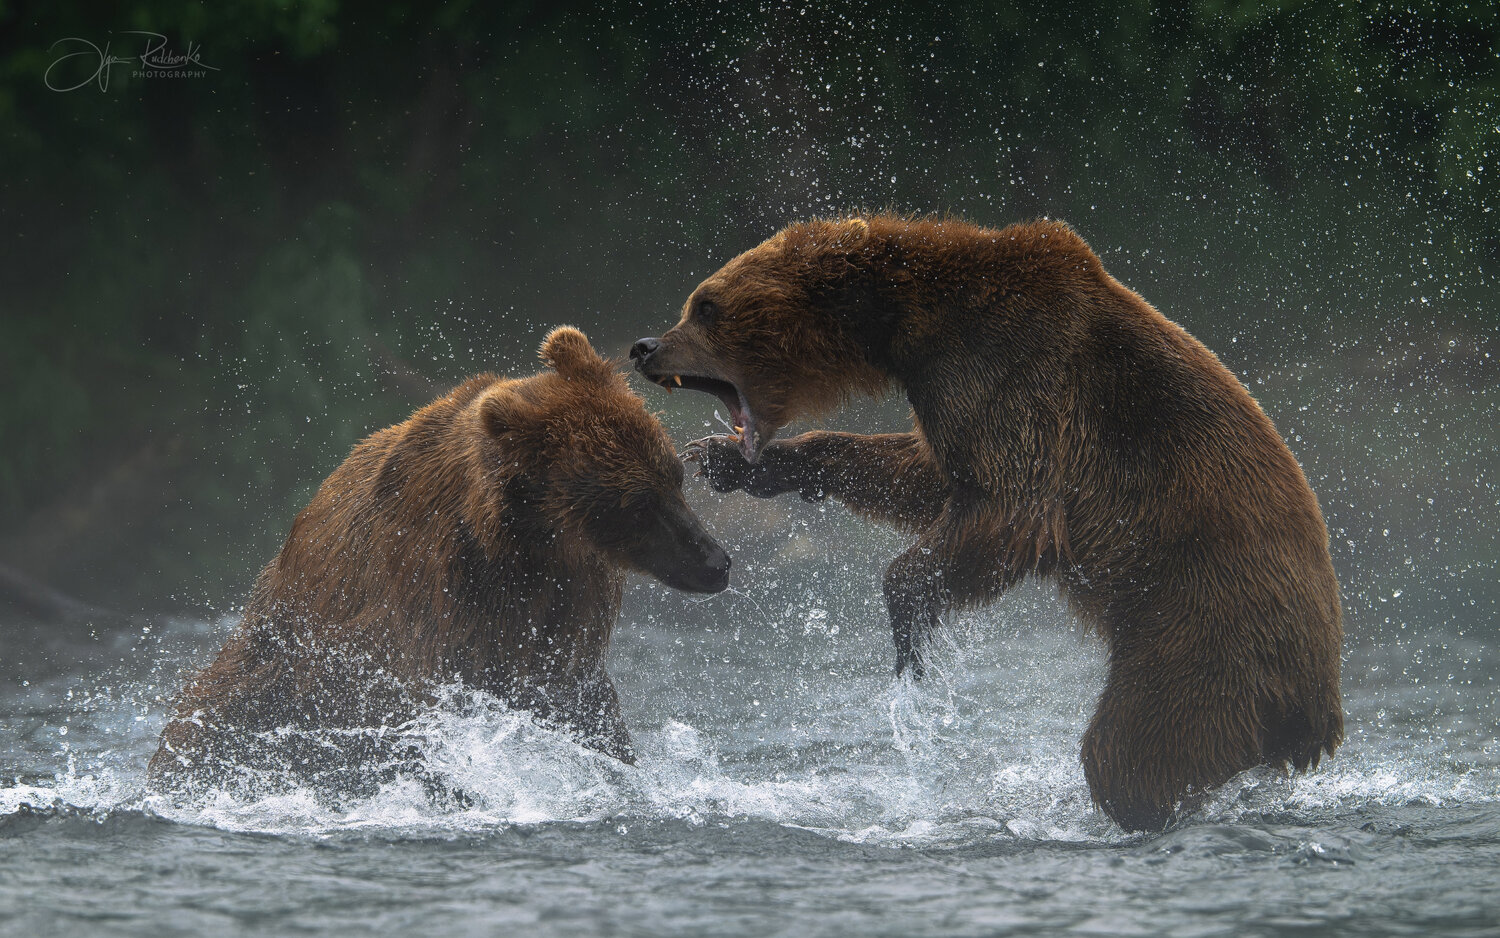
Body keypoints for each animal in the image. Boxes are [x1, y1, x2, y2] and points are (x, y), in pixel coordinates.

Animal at [149, 327, 730, 790]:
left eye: (675, 477)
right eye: (638, 502)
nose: (716, 561)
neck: (522, 545)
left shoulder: (567, 603)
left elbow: (580, 700)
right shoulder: (433, 599)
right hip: (277, 657)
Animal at [629, 215, 1343, 832]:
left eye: (706, 305)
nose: (643, 346)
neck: (907, 322)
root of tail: (1320, 712)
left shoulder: (1017, 374)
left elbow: (1011, 507)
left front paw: (910, 629)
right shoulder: (955, 390)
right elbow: (928, 475)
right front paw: (731, 460)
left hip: (1204, 627)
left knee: (1136, 746)